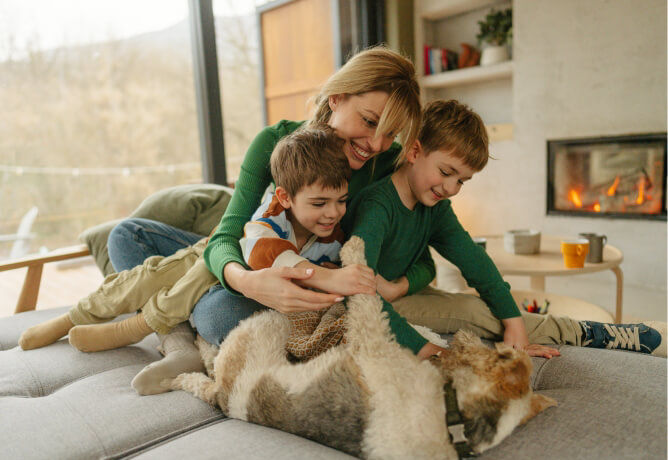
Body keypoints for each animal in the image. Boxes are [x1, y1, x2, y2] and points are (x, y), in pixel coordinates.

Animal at [170, 239, 556, 458]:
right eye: (499, 353)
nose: (464, 338)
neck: (456, 421)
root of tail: (227, 399)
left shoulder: (374, 343)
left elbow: (369, 301)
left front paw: (354, 248)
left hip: (266, 322)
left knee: (209, 358)